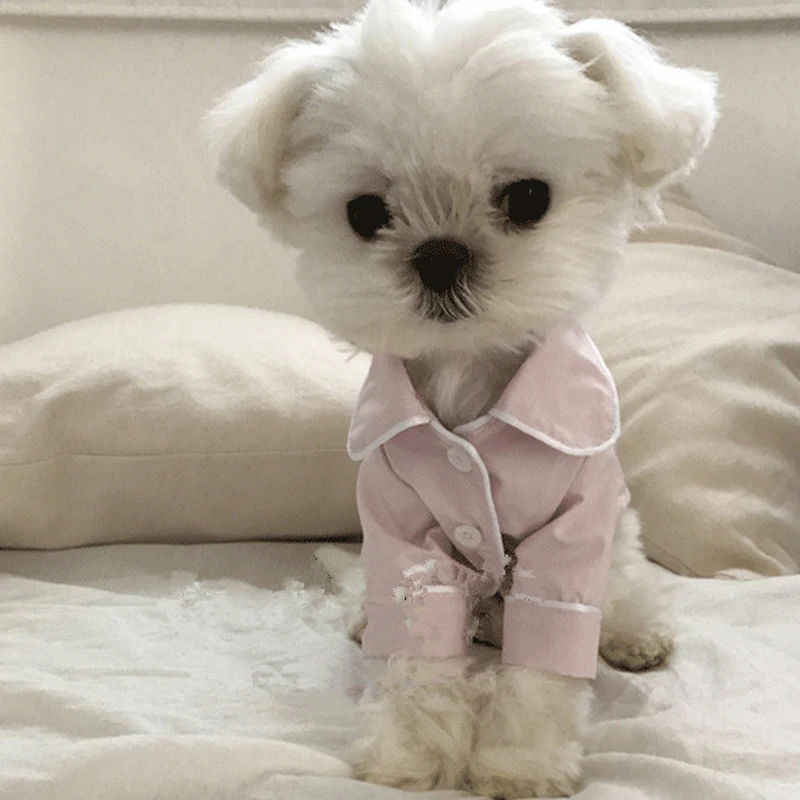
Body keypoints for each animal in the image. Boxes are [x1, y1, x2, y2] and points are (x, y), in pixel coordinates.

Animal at [208, 1, 717, 795]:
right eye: (365, 213)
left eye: (529, 198)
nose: (440, 254)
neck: (469, 372)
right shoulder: (399, 528)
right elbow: (417, 641)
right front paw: (409, 752)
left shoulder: (573, 537)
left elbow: (548, 652)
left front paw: (521, 763)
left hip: (617, 545)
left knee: (625, 584)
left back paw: (634, 633)